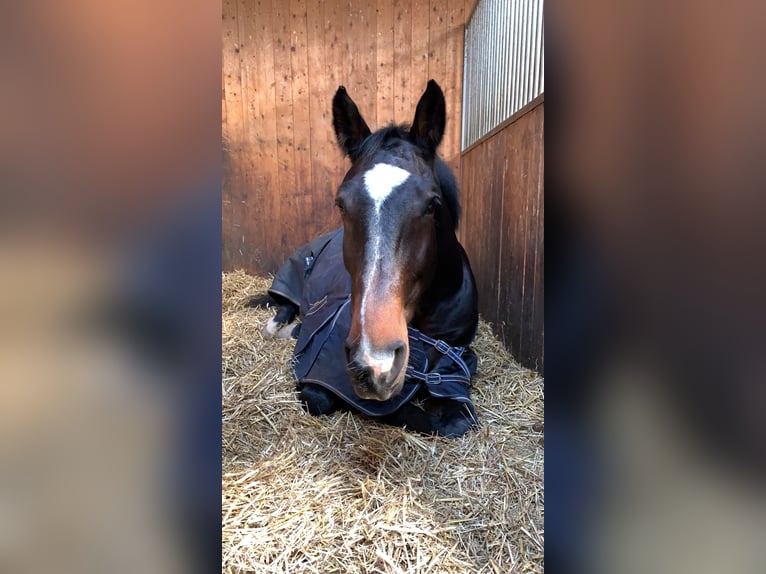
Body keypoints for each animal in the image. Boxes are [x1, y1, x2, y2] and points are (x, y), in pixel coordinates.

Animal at [260, 80, 484, 436]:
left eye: (432, 204)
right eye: (341, 203)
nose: (374, 363)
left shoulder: (454, 367)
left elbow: (453, 420)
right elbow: (352, 403)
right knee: (282, 310)